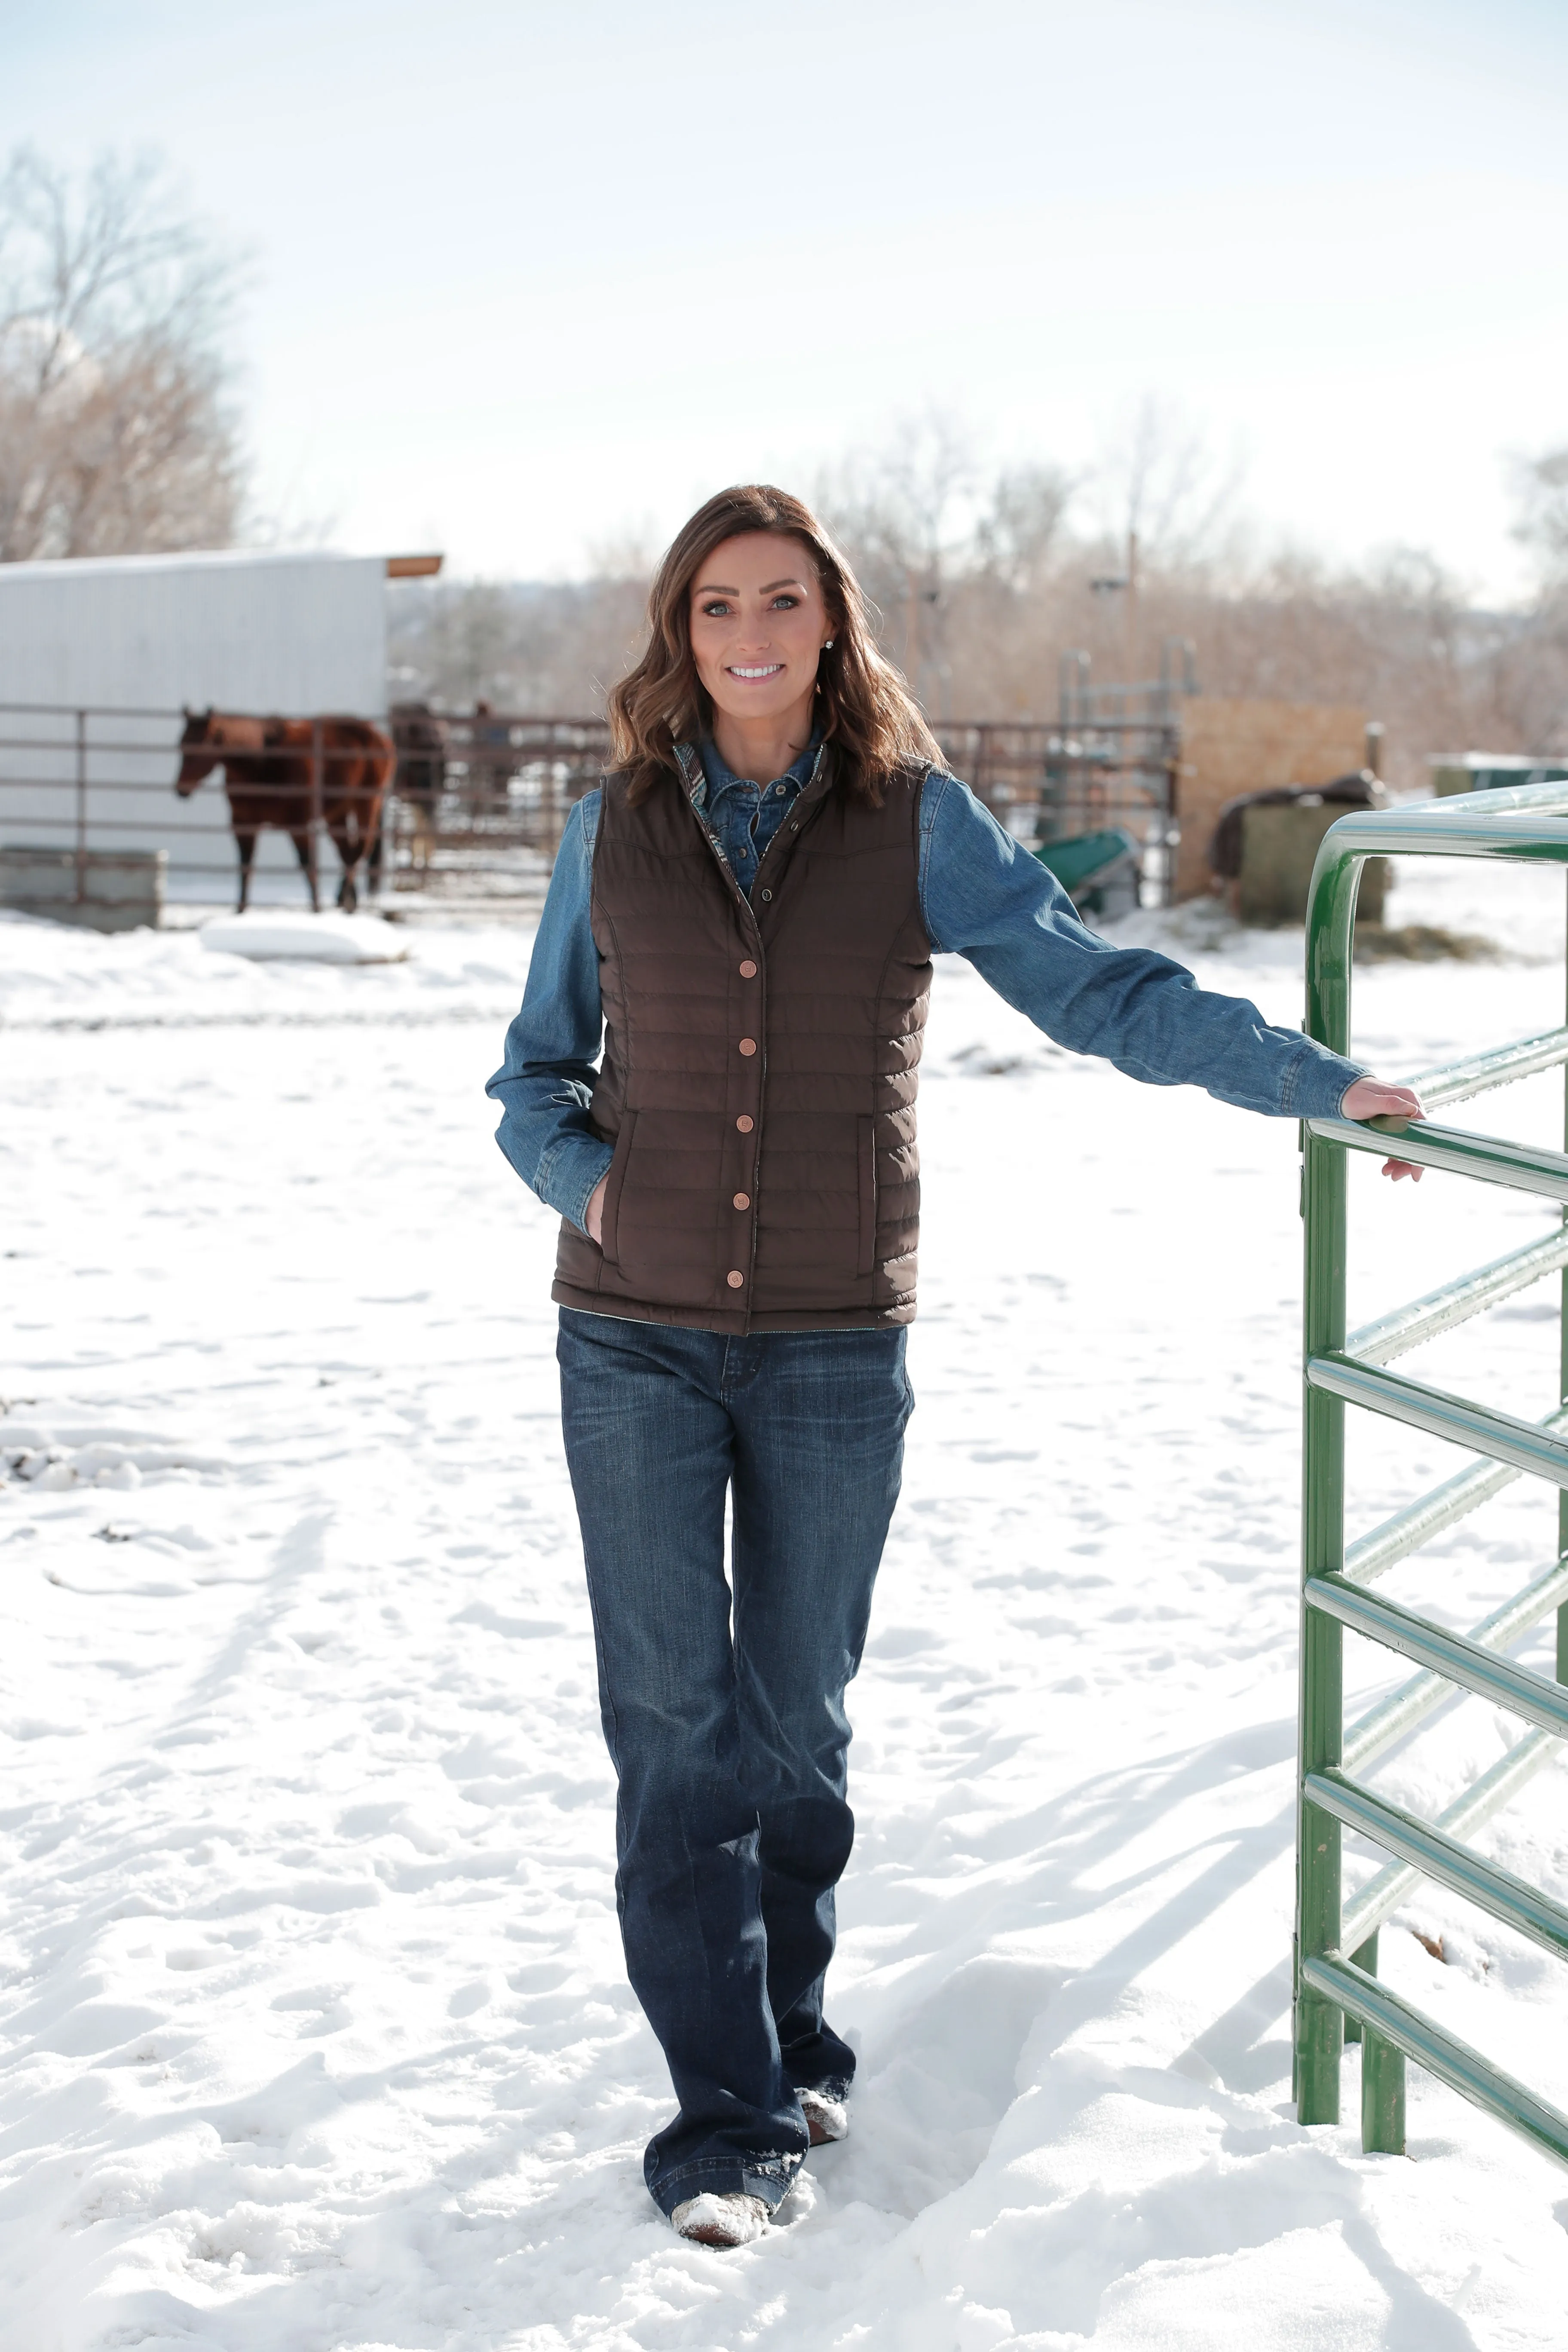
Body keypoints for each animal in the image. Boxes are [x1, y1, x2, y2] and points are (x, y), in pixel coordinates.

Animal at [175, 705, 399, 908]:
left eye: (200, 746)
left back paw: (344, 899)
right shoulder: (244, 824)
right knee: (348, 852)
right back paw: (347, 901)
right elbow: (246, 868)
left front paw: (317, 910)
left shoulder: (299, 826)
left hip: (367, 803)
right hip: (337, 813)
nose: (181, 789)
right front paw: (240, 912)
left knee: (361, 849)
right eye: (182, 745)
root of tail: (380, 736)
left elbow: (309, 867)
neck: (262, 763)